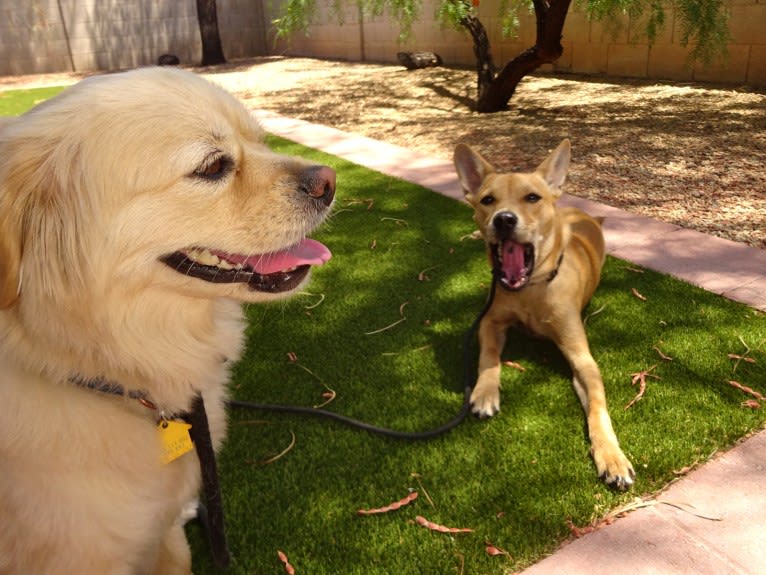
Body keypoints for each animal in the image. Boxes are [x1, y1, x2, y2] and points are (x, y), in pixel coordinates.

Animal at [456, 141, 636, 490]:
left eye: (532, 197)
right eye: (487, 200)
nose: (504, 220)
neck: (532, 291)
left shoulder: (582, 358)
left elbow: (598, 407)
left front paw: (611, 456)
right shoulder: (490, 321)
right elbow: (488, 356)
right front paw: (485, 391)